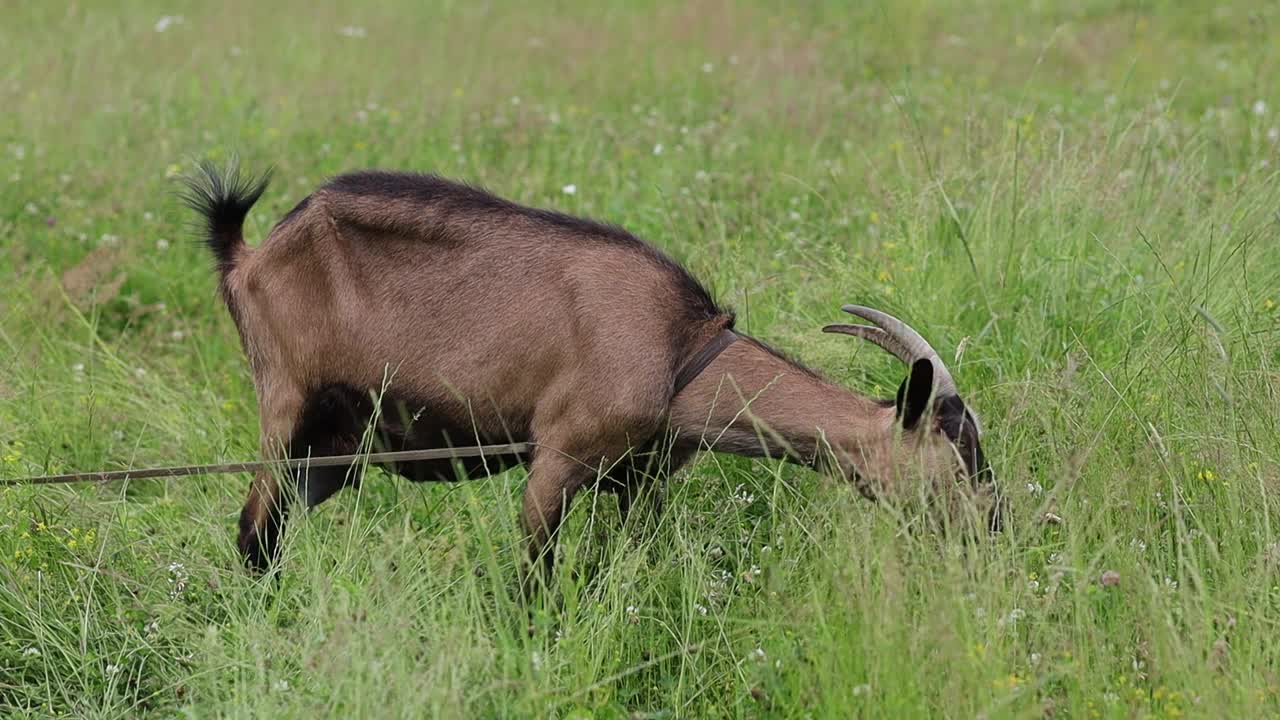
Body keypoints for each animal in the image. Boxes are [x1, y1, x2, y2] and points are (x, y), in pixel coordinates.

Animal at [180, 162, 998, 584]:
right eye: (961, 456)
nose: (993, 533)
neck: (677, 350)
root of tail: (247, 254)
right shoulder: (557, 460)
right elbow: (534, 580)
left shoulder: (639, 481)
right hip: (285, 403)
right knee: (253, 532)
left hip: (335, 449)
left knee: (271, 531)